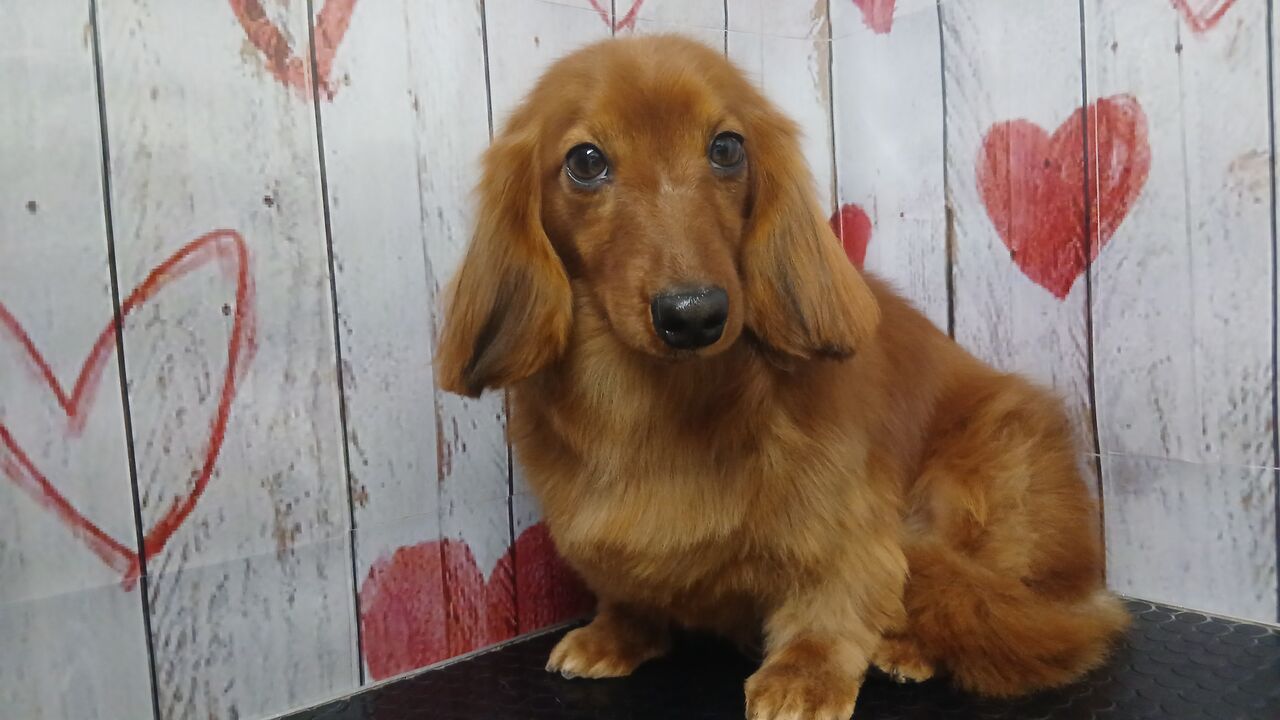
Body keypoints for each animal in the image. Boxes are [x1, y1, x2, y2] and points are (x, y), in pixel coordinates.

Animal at [436, 34, 1128, 720]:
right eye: (585, 161)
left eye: (726, 148)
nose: (694, 314)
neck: (656, 405)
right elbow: (628, 591)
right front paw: (616, 633)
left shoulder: (841, 516)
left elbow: (832, 594)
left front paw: (806, 674)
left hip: (987, 475)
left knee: (995, 604)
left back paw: (908, 647)